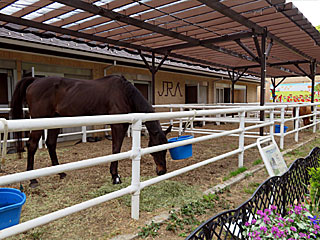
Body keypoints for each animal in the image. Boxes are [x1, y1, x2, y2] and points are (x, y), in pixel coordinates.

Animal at [10, 75, 171, 188]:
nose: (162, 171)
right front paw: (115, 177)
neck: (124, 93)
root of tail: (35, 81)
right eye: (157, 149)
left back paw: (61, 173)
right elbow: (116, 149)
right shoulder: (118, 126)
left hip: (55, 120)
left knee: (50, 144)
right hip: (39, 121)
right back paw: (33, 180)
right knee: (31, 145)